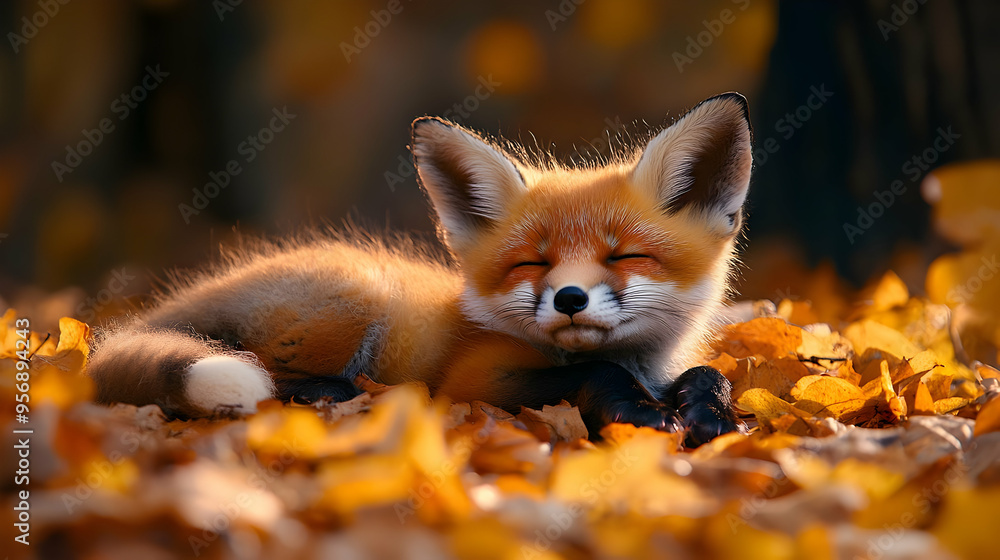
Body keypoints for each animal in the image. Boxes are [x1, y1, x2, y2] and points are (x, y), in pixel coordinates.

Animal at [88, 92, 753, 445]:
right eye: (531, 262)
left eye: (625, 255)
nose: (569, 299)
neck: (641, 362)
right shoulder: (476, 380)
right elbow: (600, 375)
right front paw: (640, 411)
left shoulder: (666, 366)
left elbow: (707, 373)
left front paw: (713, 415)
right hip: (354, 298)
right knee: (267, 371)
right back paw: (333, 392)